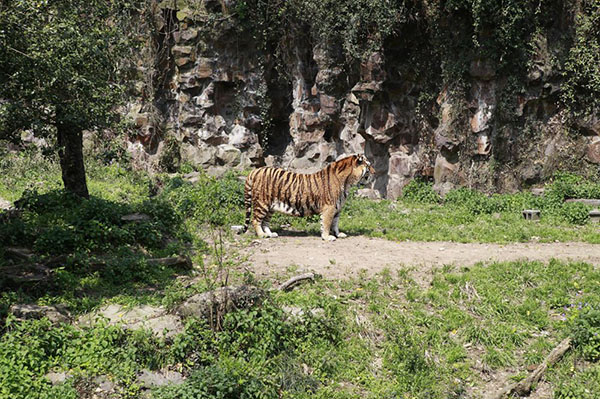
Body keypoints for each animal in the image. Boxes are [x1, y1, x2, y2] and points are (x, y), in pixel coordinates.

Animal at [240, 154, 372, 241]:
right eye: (369, 166)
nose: (374, 172)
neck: (348, 182)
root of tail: (255, 171)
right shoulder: (329, 208)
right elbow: (326, 223)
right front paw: (327, 237)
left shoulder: (337, 209)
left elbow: (335, 224)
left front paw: (338, 234)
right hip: (262, 203)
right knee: (256, 220)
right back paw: (262, 235)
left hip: (271, 207)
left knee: (265, 222)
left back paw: (270, 234)